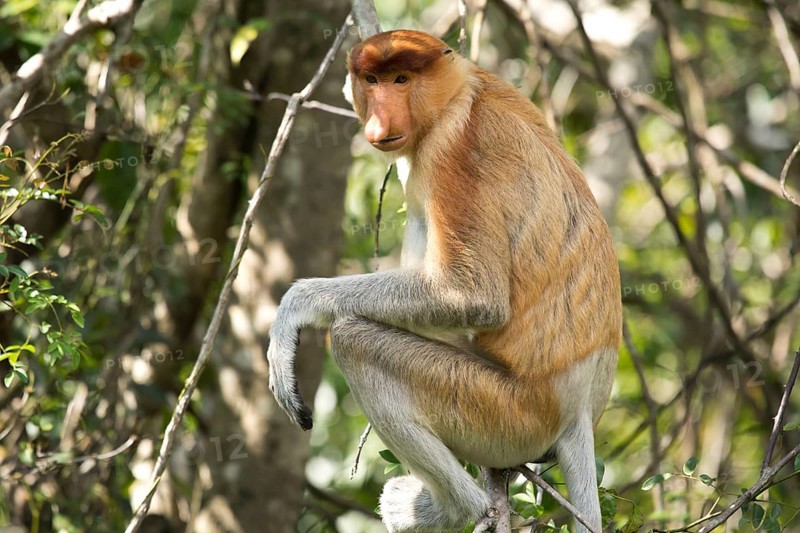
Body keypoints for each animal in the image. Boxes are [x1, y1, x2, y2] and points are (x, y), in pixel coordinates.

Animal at [267, 30, 621, 532]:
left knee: (356, 340)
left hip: (509, 415)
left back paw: (452, 509)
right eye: (372, 81)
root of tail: (579, 411)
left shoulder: (453, 153)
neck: (459, 94)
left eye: (401, 79)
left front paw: (295, 309)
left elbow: (470, 294)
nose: (379, 121)